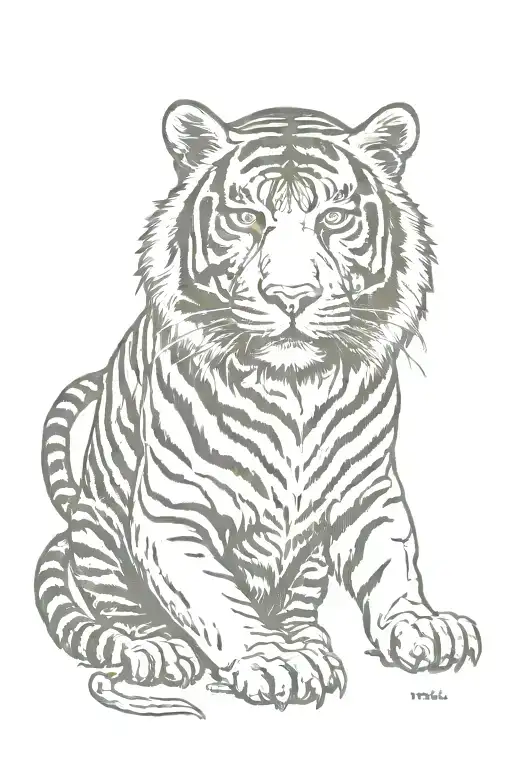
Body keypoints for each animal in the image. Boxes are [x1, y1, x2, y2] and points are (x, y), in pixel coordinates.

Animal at [35, 100, 481, 718]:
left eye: (334, 219)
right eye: (247, 218)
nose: (292, 297)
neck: (294, 387)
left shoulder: (368, 489)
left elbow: (392, 563)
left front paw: (421, 626)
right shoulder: (171, 514)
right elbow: (217, 600)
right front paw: (274, 661)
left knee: (300, 603)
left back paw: (310, 639)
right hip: (100, 530)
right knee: (120, 608)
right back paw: (158, 649)